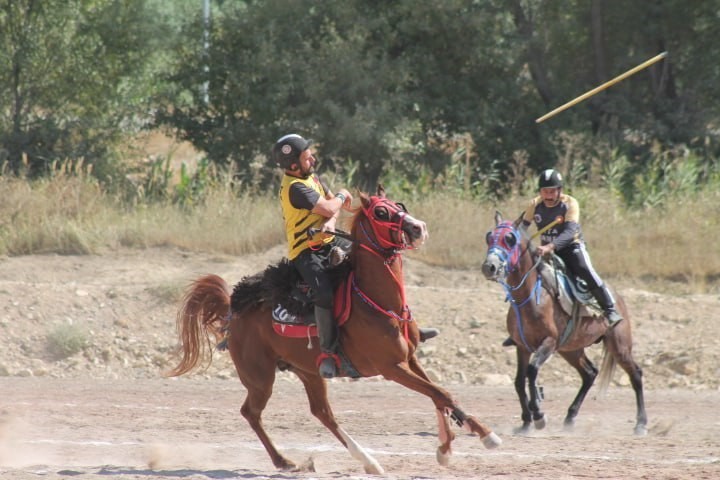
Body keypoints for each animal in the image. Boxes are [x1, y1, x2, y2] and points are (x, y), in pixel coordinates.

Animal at [169, 187, 500, 472]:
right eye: (381, 211)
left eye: (399, 205)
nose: (419, 227)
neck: (378, 301)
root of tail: (235, 309)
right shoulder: (392, 368)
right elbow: (441, 394)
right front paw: (470, 440)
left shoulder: (411, 359)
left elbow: (440, 396)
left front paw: (459, 441)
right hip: (260, 378)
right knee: (252, 412)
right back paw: (286, 461)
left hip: (309, 372)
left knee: (322, 413)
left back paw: (368, 462)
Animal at [480, 212, 644, 436]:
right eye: (489, 237)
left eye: (510, 239)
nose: (489, 267)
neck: (532, 297)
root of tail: (618, 299)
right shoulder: (522, 346)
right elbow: (519, 381)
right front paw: (525, 421)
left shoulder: (549, 342)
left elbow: (532, 372)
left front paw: (538, 415)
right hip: (571, 349)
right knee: (589, 373)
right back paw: (570, 418)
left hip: (619, 346)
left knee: (636, 374)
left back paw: (641, 424)